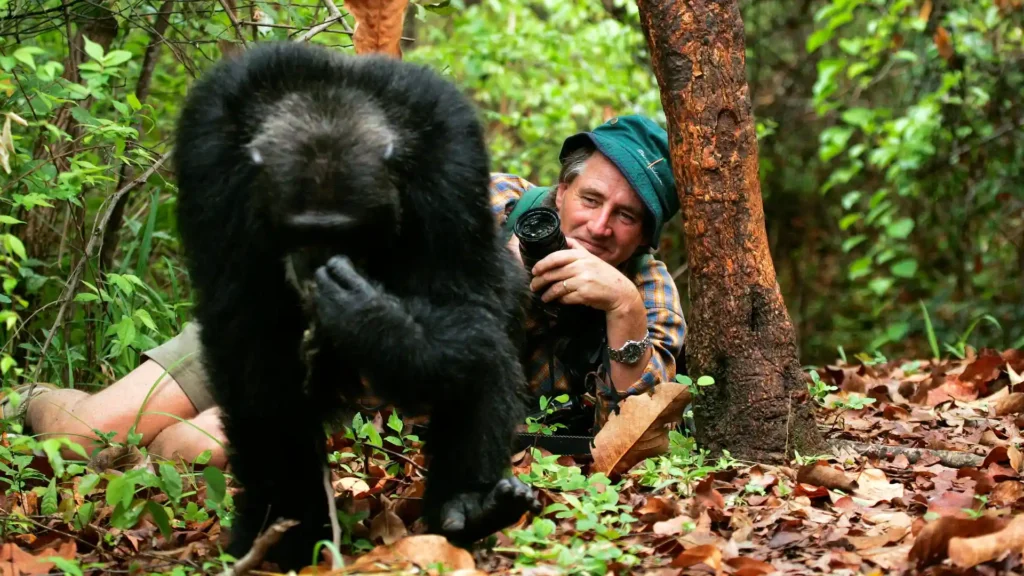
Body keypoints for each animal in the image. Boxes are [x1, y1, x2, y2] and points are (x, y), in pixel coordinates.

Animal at [172, 41, 541, 570]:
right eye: (302, 231)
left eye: (345, 232)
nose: (317, 264)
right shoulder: (209, 154)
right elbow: (247, 337)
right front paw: (287, 524)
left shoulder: (452, 150)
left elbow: (463, 295)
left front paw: (373, 320)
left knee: (483, 346)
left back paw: (471, 506)